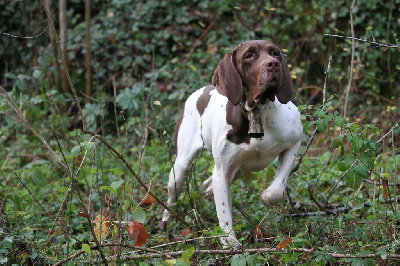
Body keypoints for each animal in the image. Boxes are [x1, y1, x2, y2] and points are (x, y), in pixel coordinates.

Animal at [158, 40, 302, 248]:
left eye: (275, 53)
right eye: (249, 55)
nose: (274, 64)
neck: (256, 114)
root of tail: (201, 91)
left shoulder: (294, 142)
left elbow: (276, 188)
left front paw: (266, 196)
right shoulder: (222, 170)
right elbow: (224, 214)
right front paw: (230, 245)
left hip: (237, 170)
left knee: (208, 184)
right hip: (181, 167)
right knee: (173, 198)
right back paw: (165, 222)